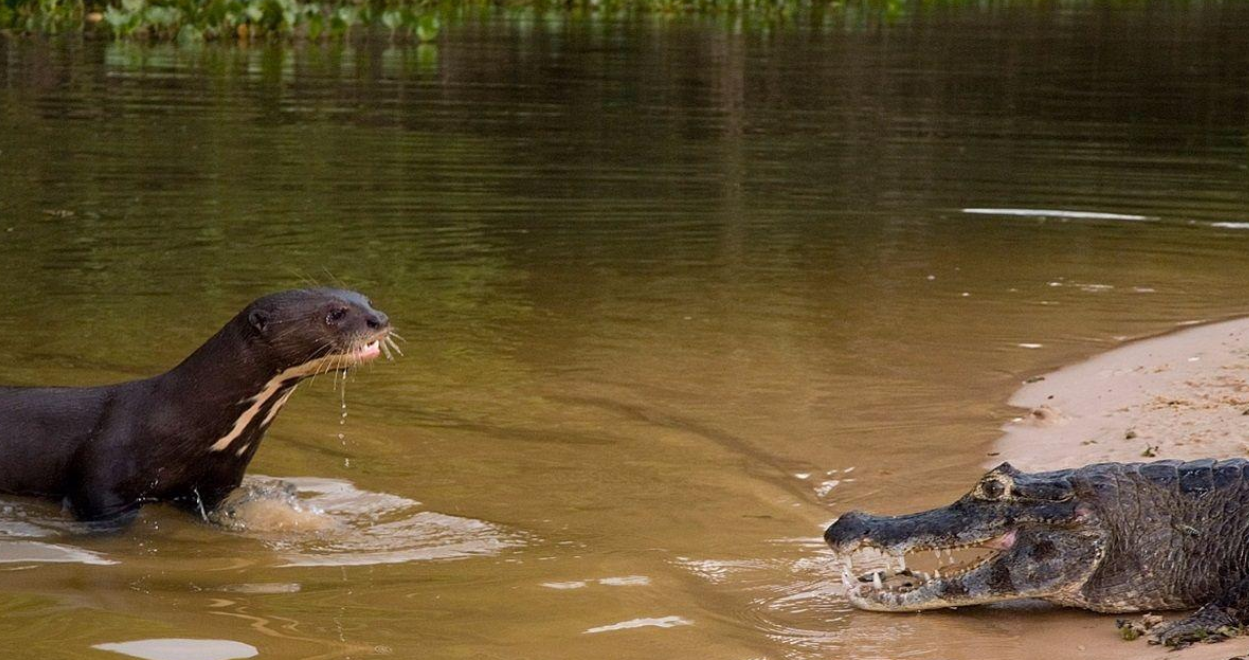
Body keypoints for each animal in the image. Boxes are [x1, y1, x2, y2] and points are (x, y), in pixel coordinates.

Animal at [0, 287, 389, 525]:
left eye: (367, 300)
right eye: (335, 313)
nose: (380, 319)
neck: (176, 418)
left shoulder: (216, 483)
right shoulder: (100, 482)